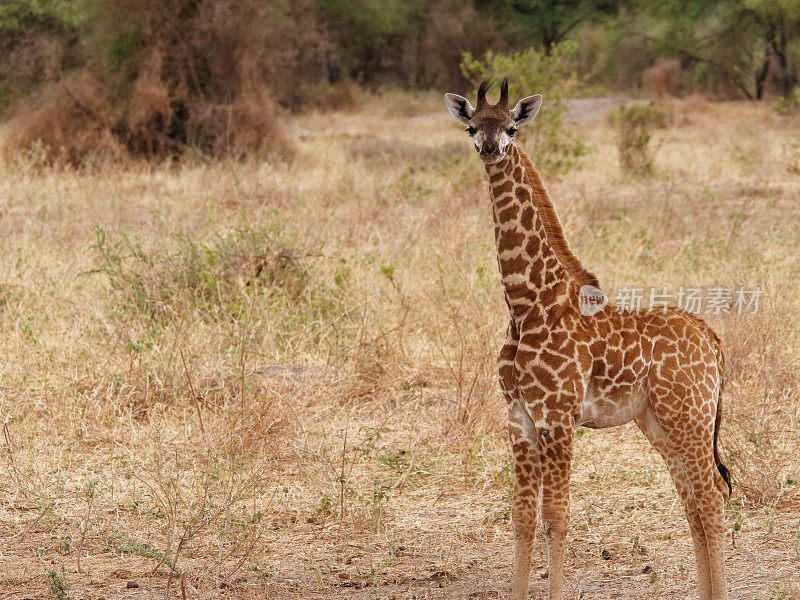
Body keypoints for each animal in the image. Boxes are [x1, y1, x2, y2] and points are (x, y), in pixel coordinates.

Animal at [444, 79, 732, 600]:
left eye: (512, 127)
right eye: (472, 127)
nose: (491, 149)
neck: (526, 304)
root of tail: (714, 341)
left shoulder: (557, 416)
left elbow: (556, 518)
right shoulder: (518, 417)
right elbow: (521, 518)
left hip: (690, 417)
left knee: (711, 496)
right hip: (659, 422)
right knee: (692, 501)